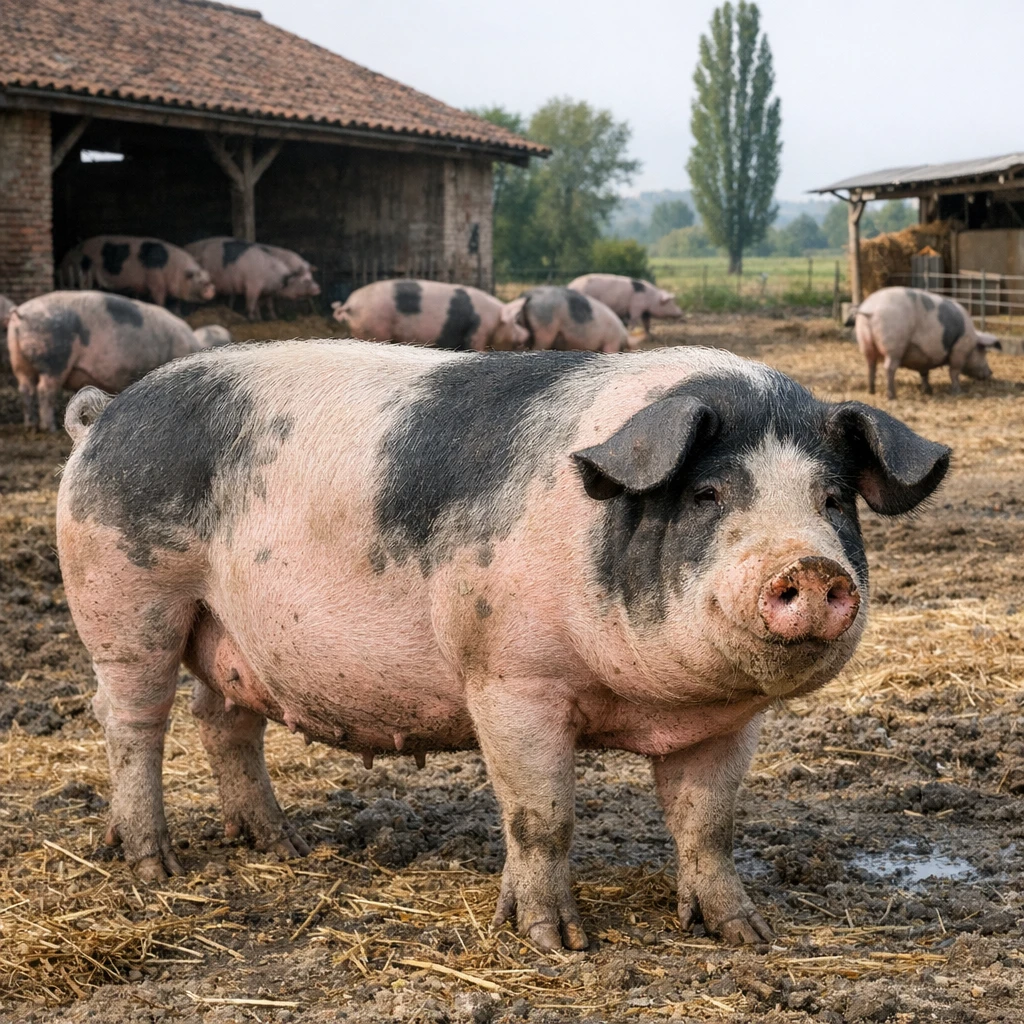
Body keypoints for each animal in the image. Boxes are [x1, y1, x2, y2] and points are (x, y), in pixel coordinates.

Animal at [7, 291, 227, 431]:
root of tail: (21, 314)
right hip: (54, 359)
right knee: (45, 390)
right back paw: (49, 428)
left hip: (19, 362)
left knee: (26, 389)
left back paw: (31, 426)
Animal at [57, 340, 950, 949]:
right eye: (707, 493)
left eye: (833, 500)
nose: (812, 568)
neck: (653, 704)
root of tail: (105, 414)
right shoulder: (510, 677)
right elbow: (541, 814)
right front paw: (557, 942)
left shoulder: (730, 723)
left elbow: (709, 825)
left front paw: (744, 935)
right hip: (128, 599)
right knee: (132, 721)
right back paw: (153, 864)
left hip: (230, 633)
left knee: (224, 723)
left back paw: (282, 845)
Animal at [59, 236, 216, 306]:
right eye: (197, 279)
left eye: (208, 277)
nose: (211, 289)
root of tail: (66, 256)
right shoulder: (155, 282)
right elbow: (160, 300)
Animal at [331, 279, 529, 350]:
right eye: (515, 322)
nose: (527, 335)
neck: (494, 318)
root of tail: (349, 305)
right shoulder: (477, 332)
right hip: (374, 329)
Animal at [853, 287, 1001, 399]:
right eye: (983, 352)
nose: (991, 372)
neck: (972, 339)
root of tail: (870, 309)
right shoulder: (959, 350)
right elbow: (954, 372)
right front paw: (958, 391)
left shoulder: (923, 356)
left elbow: (924, 373)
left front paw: (928, 390)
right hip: (894, 344)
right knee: (889, 368)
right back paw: (891, 396)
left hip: (865, 343)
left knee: (871, 365)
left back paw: (871, 391)